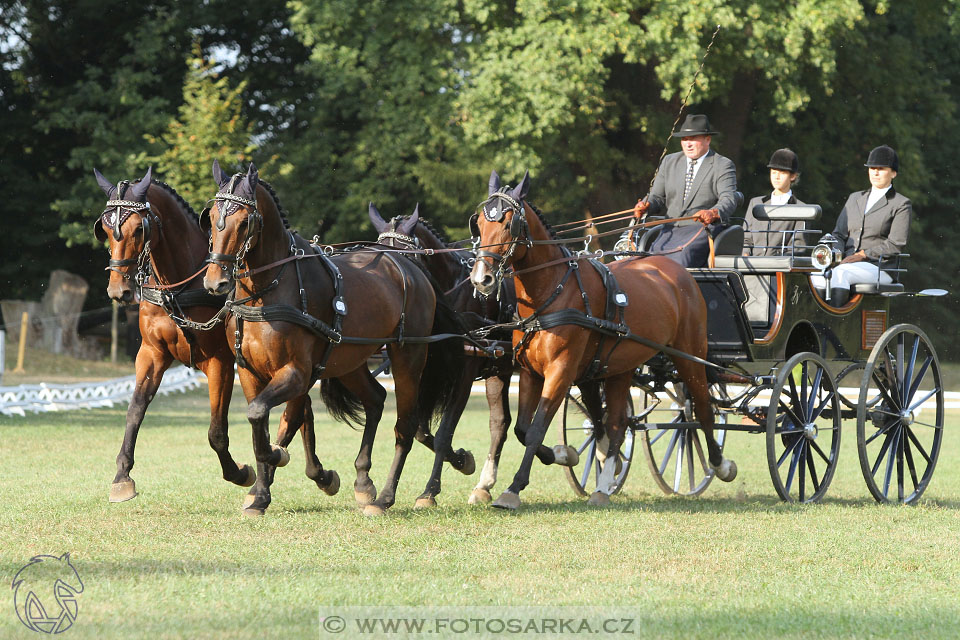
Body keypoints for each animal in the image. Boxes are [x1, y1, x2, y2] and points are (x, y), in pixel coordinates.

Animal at [94, 169, 332, 504]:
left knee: (298, 410)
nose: (119, 290)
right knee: (302, 409)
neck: (180, 286)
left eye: (139, 229)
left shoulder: (220, 361)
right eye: (104, 227)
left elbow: (217, 431)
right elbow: (135, 411)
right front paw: (122, 477)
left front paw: (240, 472)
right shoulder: (152, 353)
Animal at [202, 160, 462, 516]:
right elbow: (261, 421)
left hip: (408, 357)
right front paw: (260, 493)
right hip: (348, 360)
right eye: (213, 217)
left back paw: (384, 498)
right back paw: (364, 482)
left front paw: (276, 457)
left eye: (244, 222)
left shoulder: (297, 372)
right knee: (375, 399)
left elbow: (267, 418)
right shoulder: (249, 371)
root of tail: (412, 269)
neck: (265, 293)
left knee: (405, 426)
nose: (215, 283)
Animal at [466, 170, 736, 510]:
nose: (481, 279)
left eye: (508, 223)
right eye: (479, 224)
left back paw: (721, 464)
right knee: (618, 423)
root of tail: (676, 270)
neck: (552, 291)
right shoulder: (529, 372)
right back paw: (605, 482)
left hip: (689, 355)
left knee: (701, 409)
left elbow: (537, 428)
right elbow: (522, 429)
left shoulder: (561, 372)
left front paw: (513, 488)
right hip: (620, 367)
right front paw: (565, 454)